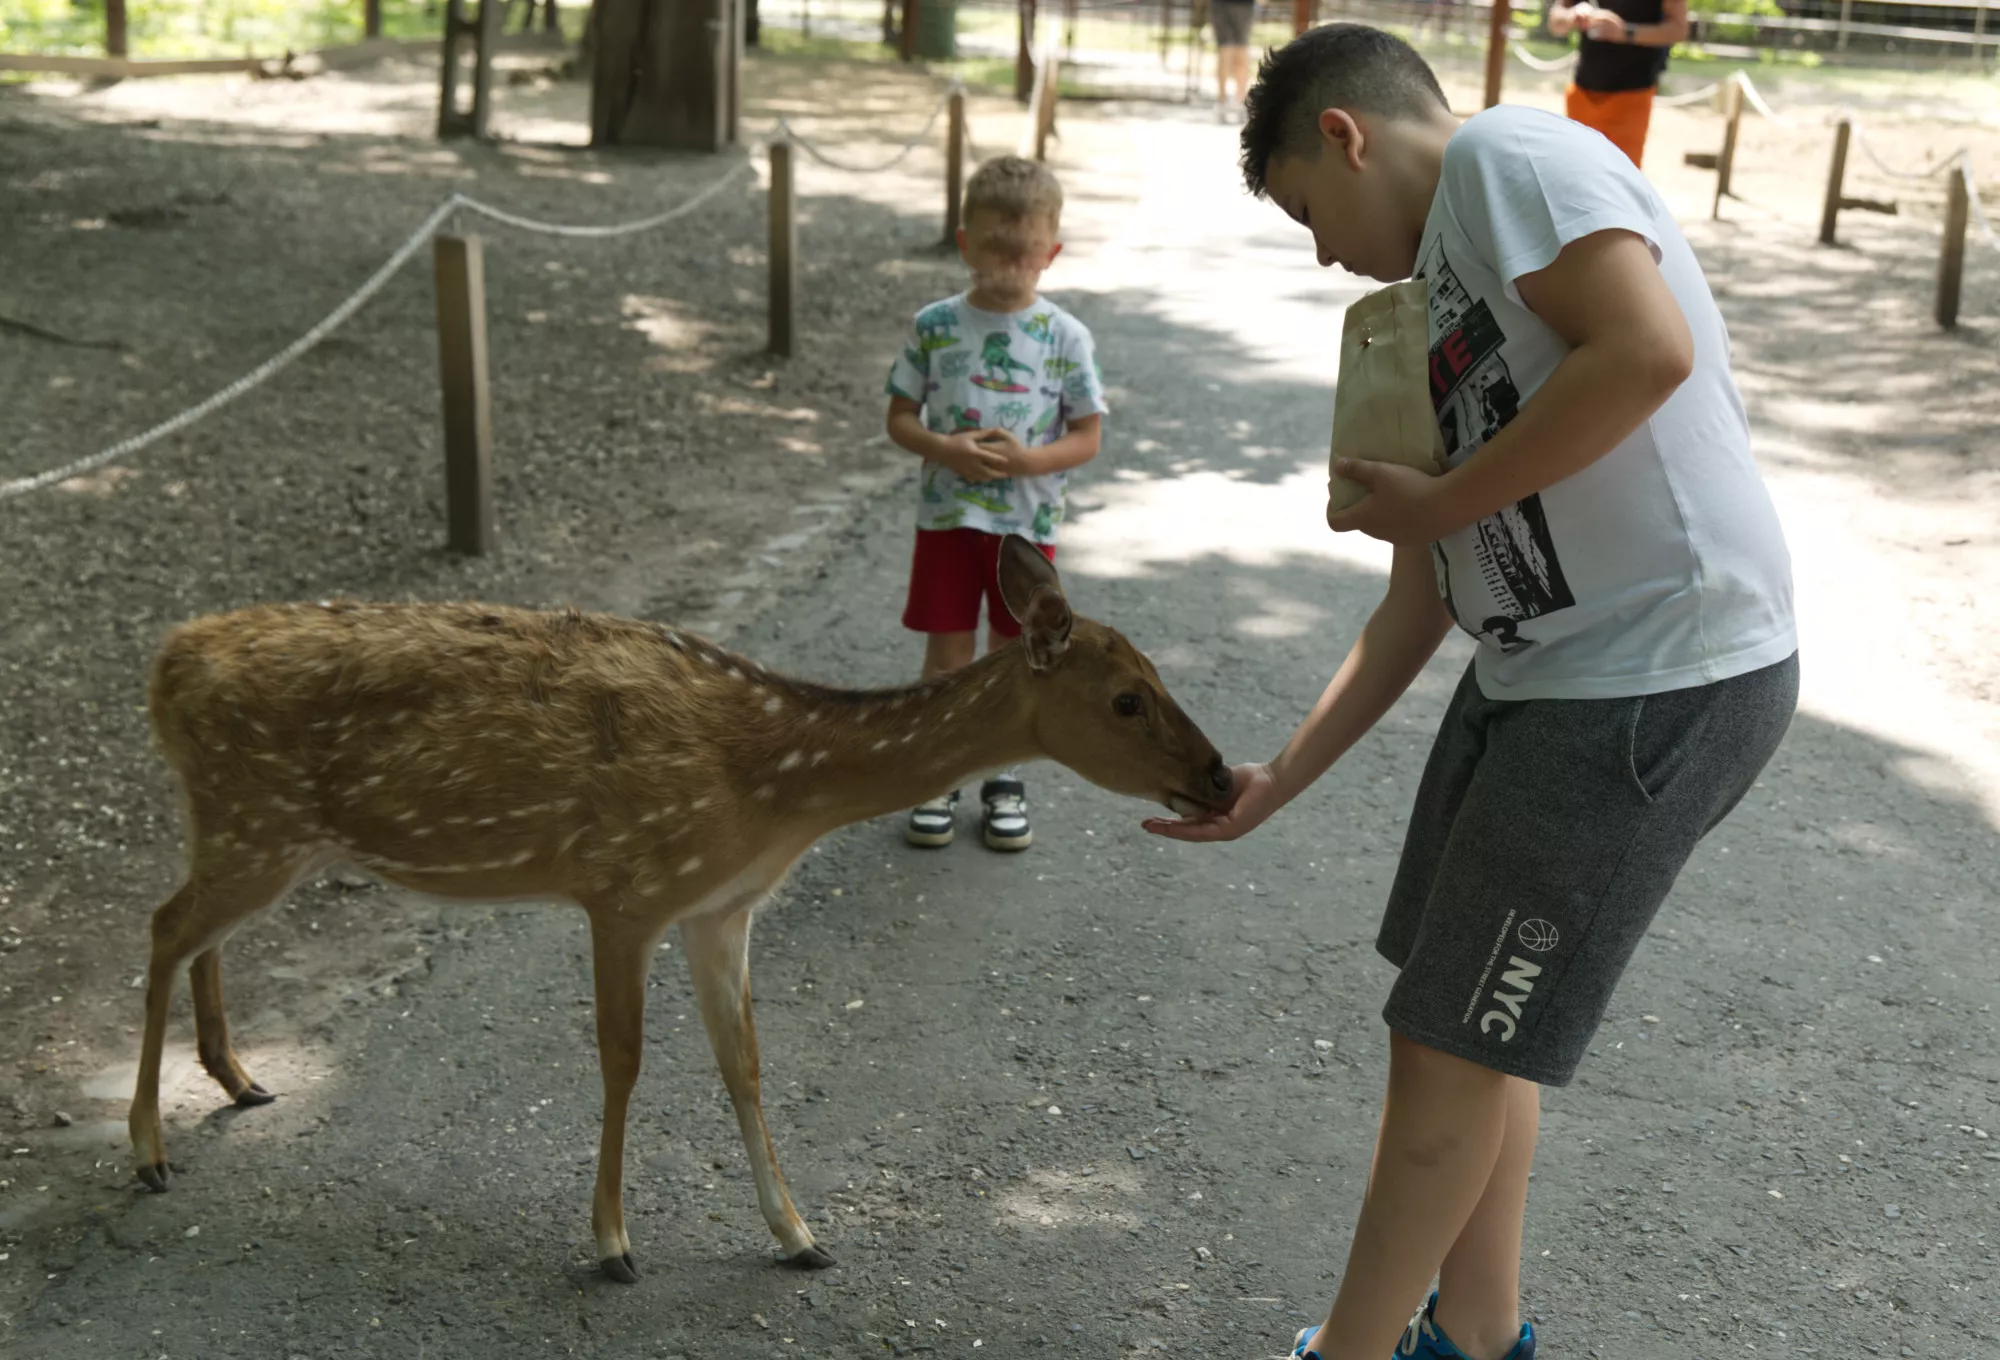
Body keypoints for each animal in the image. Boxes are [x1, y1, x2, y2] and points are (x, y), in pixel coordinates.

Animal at [133, 536, 1224, 1280]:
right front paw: (613, 1243)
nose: (1218, 778)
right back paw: (147, 1151)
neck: (772, 789)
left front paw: (798, 1235)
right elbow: (624, 1058)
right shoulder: (625, 884)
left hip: (253, 828)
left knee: (194, 928)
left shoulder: (720, 907)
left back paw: (239, 1079)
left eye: (1162, 676)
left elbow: (744, 1064)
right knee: (162, 924)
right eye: (1128, 697)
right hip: (258, 820)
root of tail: (167, 659)